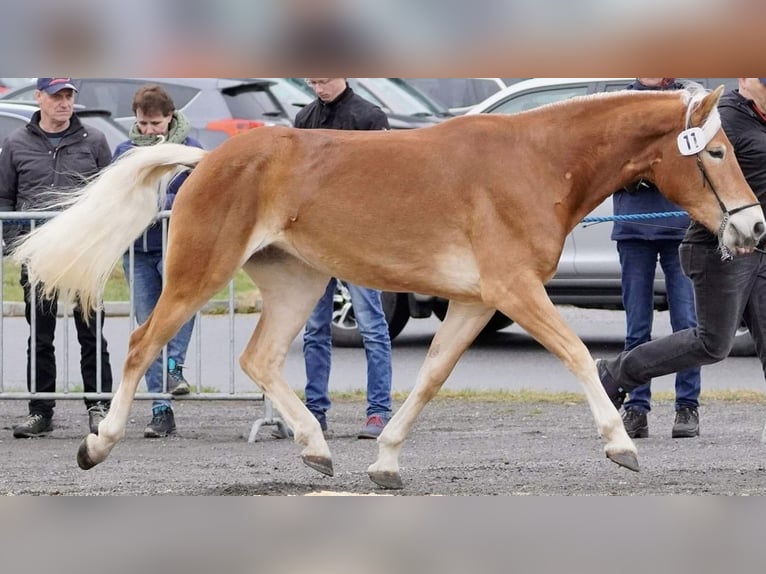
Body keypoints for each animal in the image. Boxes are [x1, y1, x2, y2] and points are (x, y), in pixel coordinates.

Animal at [13, 85, 766, 490]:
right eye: (717, 151)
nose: (753, 227)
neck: (538, 163)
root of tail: (206, 156)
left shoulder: (477, 301)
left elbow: (430, 377)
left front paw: (384, 461)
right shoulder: (515, 288)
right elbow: (579, 355)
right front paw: (621, 446)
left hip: (299, 281)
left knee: (258, 358)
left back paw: (317, 449)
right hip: (201, 272)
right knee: (142, 343)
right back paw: (96, 445)